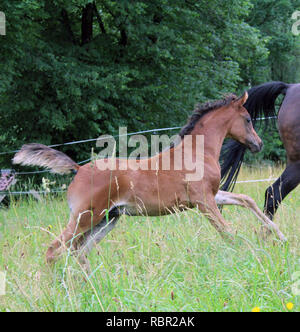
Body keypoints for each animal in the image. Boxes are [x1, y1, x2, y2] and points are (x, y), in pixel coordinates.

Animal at [13, 92, 286, 268]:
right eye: (248, 119)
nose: (259, 144)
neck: (197, 152)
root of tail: (79, 170)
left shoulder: (212, 195)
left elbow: (246, 199)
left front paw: (280, 236)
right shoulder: (203, 201)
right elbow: (228, 231)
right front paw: (248, 254)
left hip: (106, 220)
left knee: (79, 252)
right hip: (85, 217)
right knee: (54, 250)